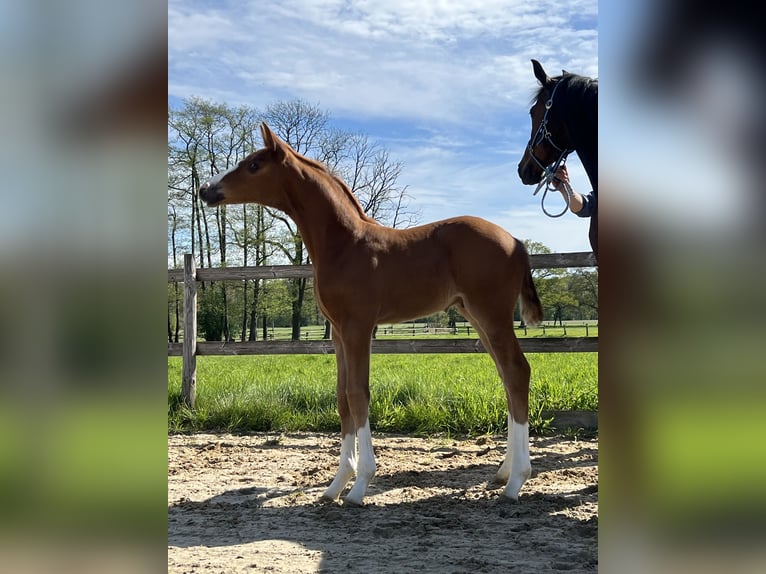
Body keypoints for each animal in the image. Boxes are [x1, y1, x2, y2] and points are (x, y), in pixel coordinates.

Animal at [198, 124, 544, 506]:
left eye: (254, 165)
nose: (205, 189)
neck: (344, 244)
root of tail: (516, 241)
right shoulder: (337, 331)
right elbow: (341, 397)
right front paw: (335, 484)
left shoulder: (358, 327)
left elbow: (358, 393)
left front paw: (360, 483)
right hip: (476, 316)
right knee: (507, 377)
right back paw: (503, 472)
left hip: (492, 314)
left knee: (517, 371)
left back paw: (517, 481)